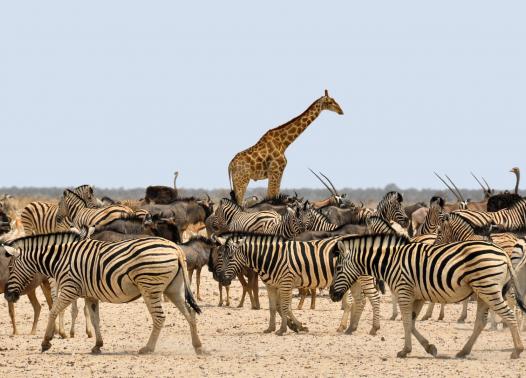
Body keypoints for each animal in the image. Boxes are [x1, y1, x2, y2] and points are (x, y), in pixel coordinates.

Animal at [2, 232, 204, 356]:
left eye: (10, 268)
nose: (7, 296)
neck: (60, 259)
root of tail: (175, 248)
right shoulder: (90, 295)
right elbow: (95, 319)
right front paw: (97, 345)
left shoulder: (69, 288)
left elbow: (53, 311)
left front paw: (46, 342)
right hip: (174, 289)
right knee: (190, 313)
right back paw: (198, 346)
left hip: (150, 287)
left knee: (160, 317)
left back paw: (148, 348)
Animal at [214, 233, 384, 336]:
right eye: (220, 255)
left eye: (230, 257)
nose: (222, 279)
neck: (269, 258)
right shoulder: (272, 285)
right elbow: (274, 307)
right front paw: (273, 328)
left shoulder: (286, 283)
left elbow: (284, 307)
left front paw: (283, 329)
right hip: (353, 280)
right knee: (360, 301)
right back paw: (350, 328)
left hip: (363, 277)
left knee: (374, 298)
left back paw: (373, 328)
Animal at [332, 232, 524, 358]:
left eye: (338, 268)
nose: (332, 294)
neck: (391, 261)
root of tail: (504, 254)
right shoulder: (417, 296)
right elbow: (412, 323)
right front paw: (429, 347)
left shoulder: (404, 291)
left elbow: (406, 322)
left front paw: (405, 350)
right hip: (482, 291)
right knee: (480, 322)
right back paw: (464, 351)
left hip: (488, 288)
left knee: (509, 315)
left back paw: (518, 350)